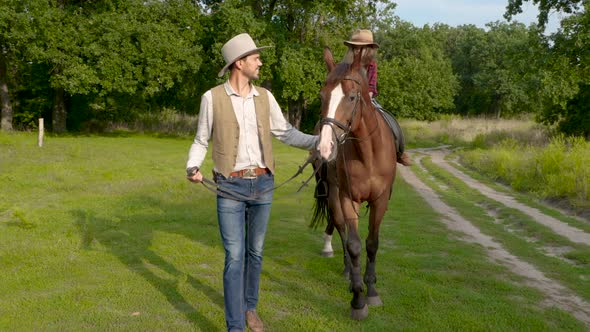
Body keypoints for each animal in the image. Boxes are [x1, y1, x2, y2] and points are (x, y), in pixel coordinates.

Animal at [314, 48, 398, 320]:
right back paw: (348, 272)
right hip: (333, 195)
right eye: (322, 96)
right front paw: (358, 299)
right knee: (340, 228)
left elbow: (372, 243)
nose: (325, 147)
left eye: (352, 97)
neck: (367, 152)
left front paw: (371, 291)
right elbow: (353, 245)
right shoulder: (347, 198)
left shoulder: (380, 200)